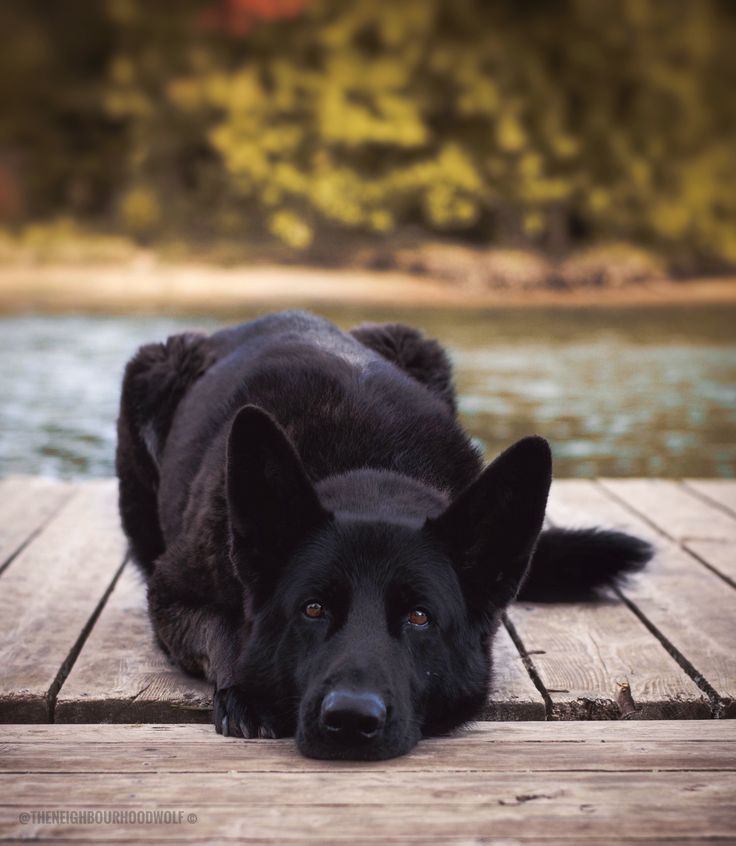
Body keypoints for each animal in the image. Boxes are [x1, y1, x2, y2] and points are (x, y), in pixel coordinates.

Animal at [118, 312, 652, 760]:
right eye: (313, 609)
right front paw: (249, 694)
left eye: (419, 617)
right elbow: (226, 632)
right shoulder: (171, 594)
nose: (351, 721)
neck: (371, 472)